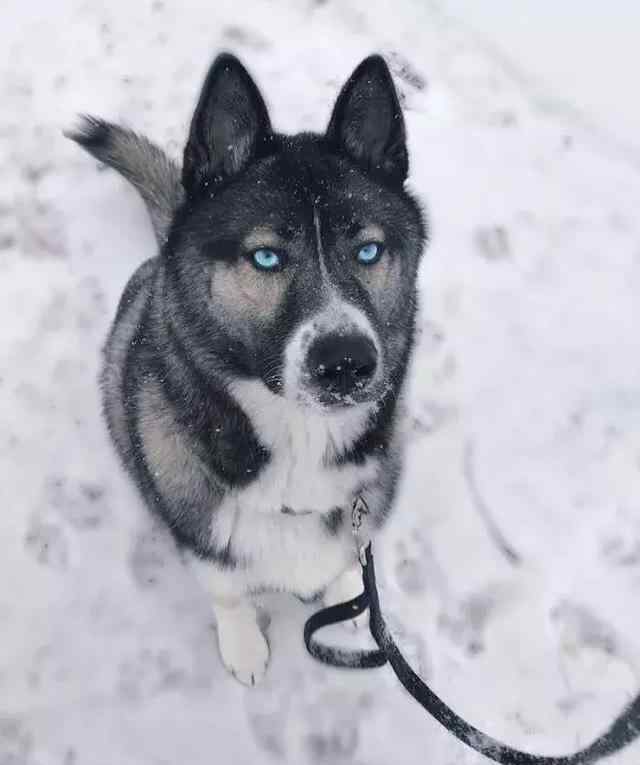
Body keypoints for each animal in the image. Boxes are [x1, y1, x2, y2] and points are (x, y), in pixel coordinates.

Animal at [69, 53, 424, 688]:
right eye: (265, 257)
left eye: (368, 251)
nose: (346, 363)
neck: (299, 444)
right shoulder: (199, 526)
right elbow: (227, 588)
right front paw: (244, 646)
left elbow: (346, 557)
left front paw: (347, 597)